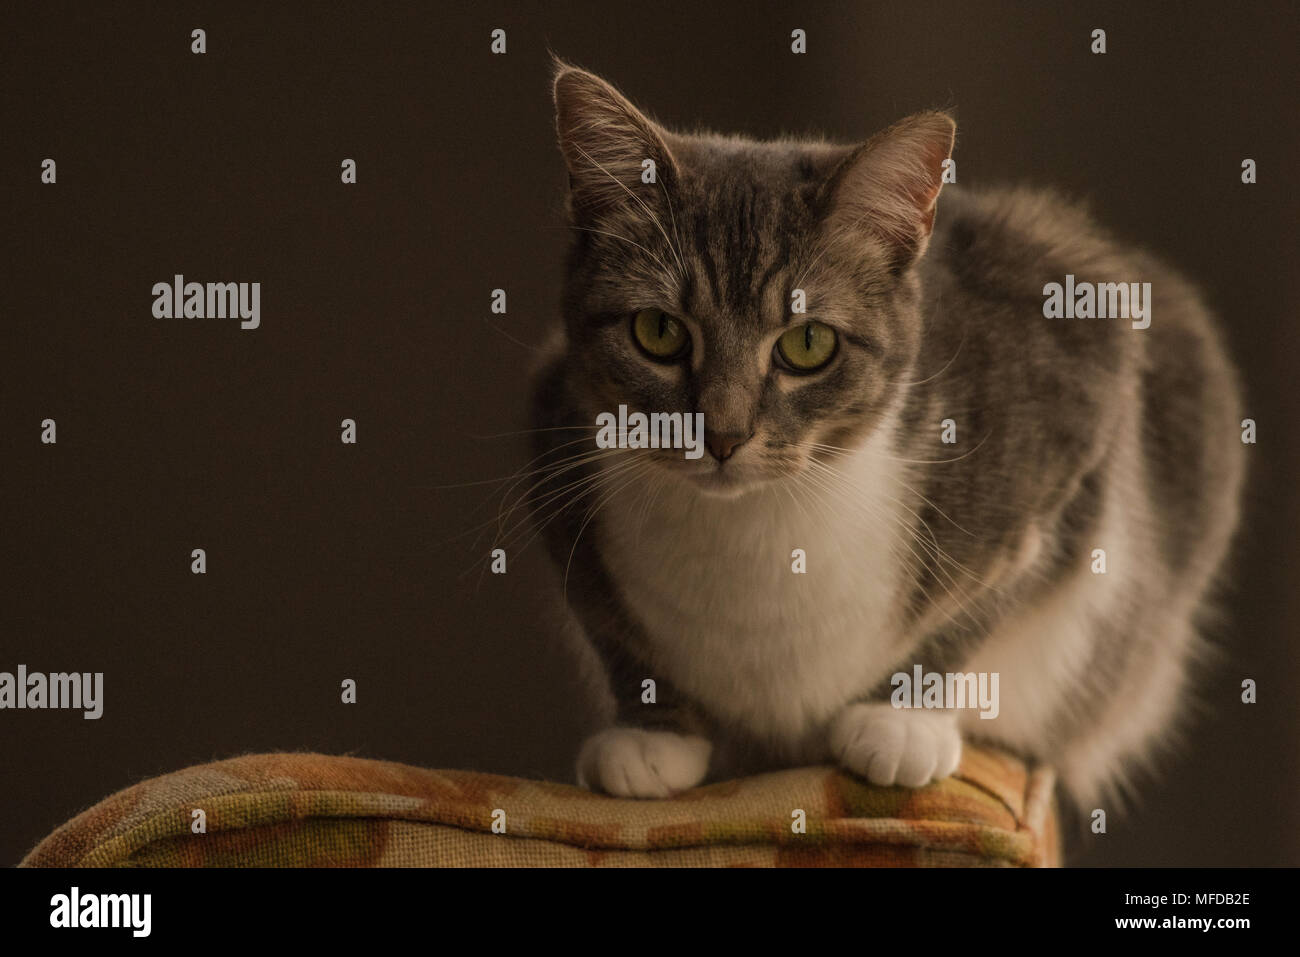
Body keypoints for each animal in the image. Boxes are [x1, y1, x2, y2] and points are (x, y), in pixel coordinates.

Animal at [522, 57, 1242, 806]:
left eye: (808, 343)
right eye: (659, 332)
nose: (721, 436)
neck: (754, 530)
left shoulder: (1072, 416)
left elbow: (980, 602)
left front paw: (901, 723)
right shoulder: (553, 441)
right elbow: (614, 634)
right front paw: (651, 736)